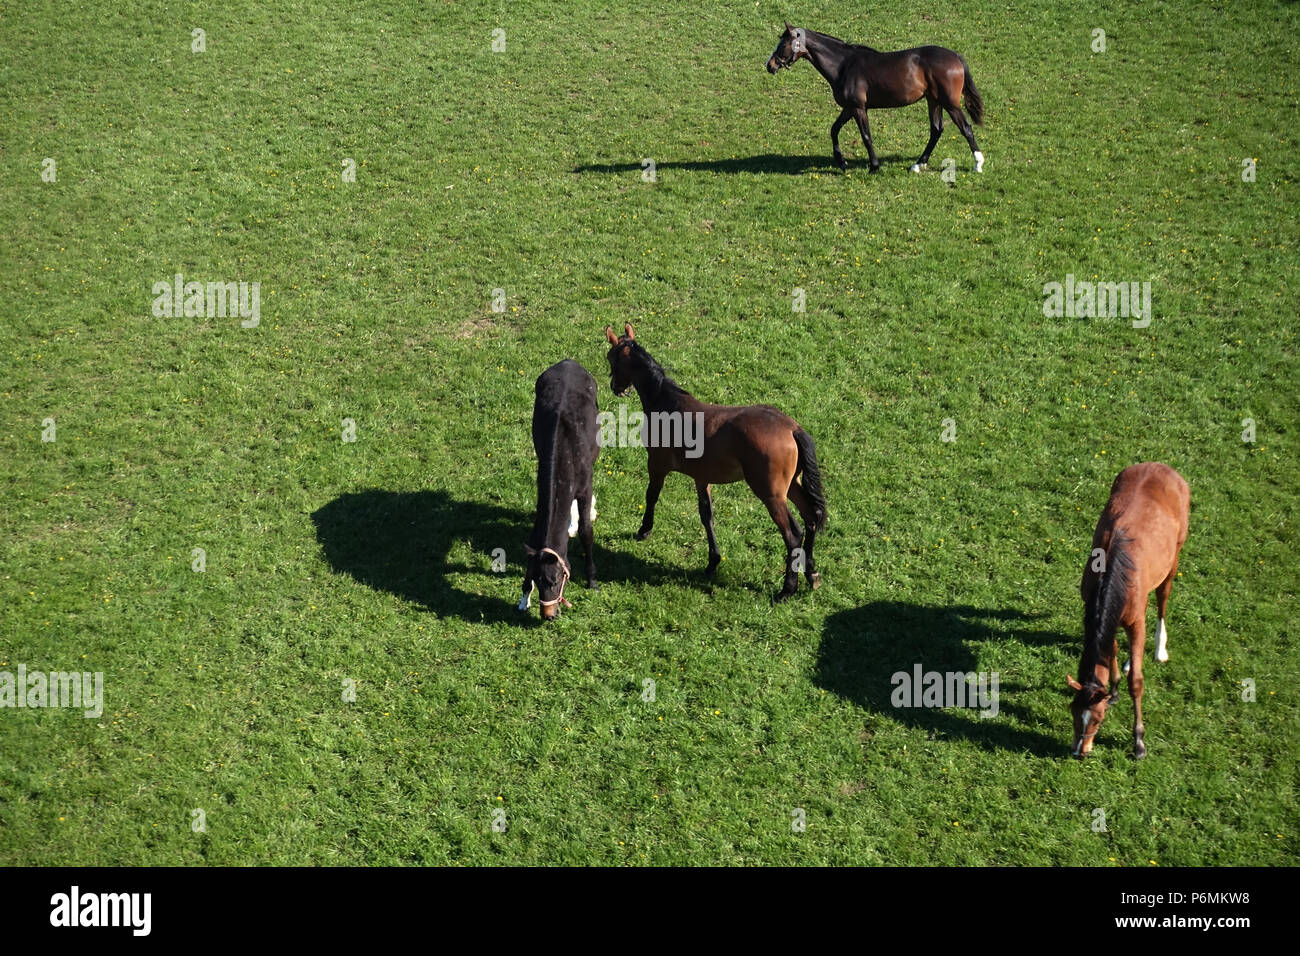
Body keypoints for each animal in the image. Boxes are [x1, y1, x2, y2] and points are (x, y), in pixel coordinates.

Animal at [517, 358, 598, 621]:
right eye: (535, 578)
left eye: (555, 580)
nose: (548, 614)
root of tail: (569, 362)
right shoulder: (542, 493)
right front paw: (524, 599)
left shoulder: (585, 488)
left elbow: (586, 531)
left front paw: (592, 579)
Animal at [603, 325, 826, 600]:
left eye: (610, 358)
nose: (616, 387)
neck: (667, 404)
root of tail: (792, 428)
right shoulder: (702, 478)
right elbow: (706, 515)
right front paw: (713, 561)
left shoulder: (656, 465)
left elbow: (651, 496)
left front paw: (644, 530)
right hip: (792, 485)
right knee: (812, 516)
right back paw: (811, 573)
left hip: (771, 494)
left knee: (793, 535)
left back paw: (787, 589)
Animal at [759, 21, 982, 174]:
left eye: (782, 45)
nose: (770, 65)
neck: (843, 65)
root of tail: (955, 56)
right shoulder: (849, 108)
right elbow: (834, 130)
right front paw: (841, 162)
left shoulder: (858, 108)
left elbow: (866, 136)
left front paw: (874, 166)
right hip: (933, 101)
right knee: (936, 130)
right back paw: (918, 165)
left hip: (950, 103)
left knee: (965, 128)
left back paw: (978, 164)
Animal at [1066, 463, 1190, 764]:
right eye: (1073, 713)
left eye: (1098, 720)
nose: (1079, 751)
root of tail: (1162, 466)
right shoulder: (1101, 615)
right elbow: (1109, 649)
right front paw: (1114, 688)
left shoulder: (1136, 623)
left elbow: (1137, 682)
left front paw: (1139, 741)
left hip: (1174, 559)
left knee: (1163, 600)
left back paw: (1159, 649)